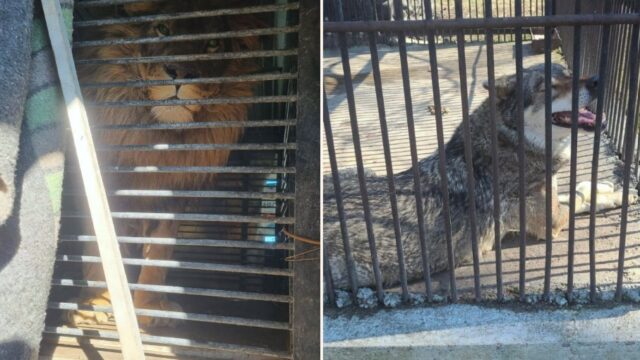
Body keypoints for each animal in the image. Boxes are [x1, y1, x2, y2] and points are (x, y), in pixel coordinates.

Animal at [67, 0, 262, 328]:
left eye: (213, 43)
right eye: (162, 28)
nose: (180, 72)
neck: (158, 142)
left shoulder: (172, 197)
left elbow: (159, 254)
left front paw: (150, 309)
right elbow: (98, 244)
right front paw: (95, 304)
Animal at [322, 63, 608, 288]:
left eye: (569, 74)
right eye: (546, 87)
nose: (596, 80)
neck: (512, 142)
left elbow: (575, 190)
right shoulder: (553, 222)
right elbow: (578, 197)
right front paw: (607, 193)